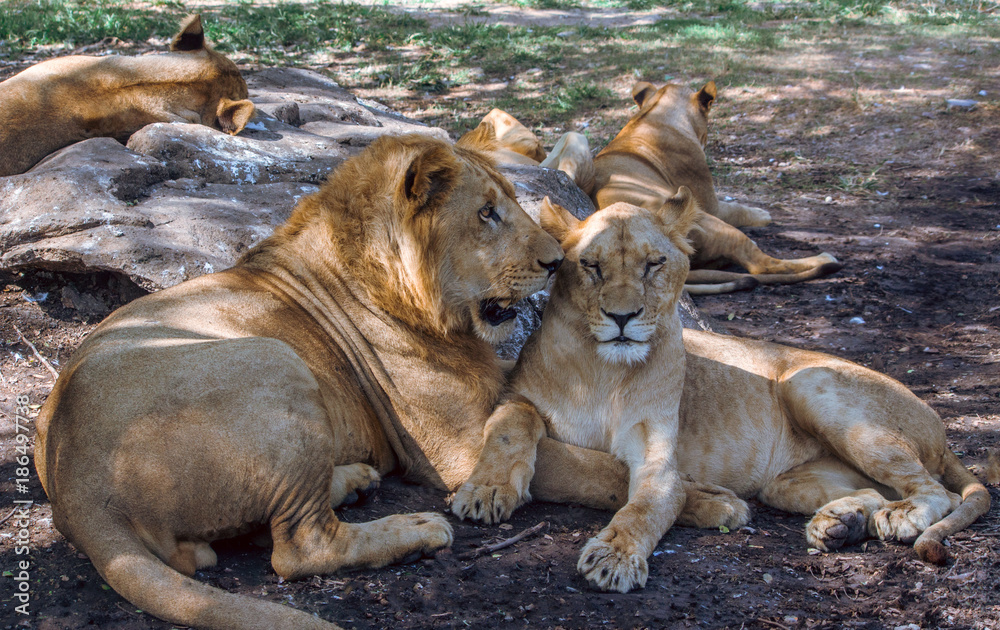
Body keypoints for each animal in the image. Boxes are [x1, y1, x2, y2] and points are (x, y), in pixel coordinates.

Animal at [34, 134, 635, 629]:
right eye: (487, 213)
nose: (556, 263)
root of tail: (77, 484)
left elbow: (533, 414)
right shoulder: (459, 451)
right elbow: (598, 471)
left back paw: (352, 480)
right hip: (276, 359)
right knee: (300, 549)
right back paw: (416, 530)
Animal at [455, 193, 990, 593]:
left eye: (653, 265)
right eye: (591, 266)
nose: (623, 318)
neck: (602, 371)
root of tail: (941, 429)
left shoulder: (659, 458)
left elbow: (643, 507)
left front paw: (614, 557)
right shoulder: (519, 397)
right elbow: (510, 424)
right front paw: (486, 491)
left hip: (810, 383)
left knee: (934, 490)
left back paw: (900, 517)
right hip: (787, 482)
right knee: (875, 490)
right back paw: (841, 523)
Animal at [592, 81, 843, 294]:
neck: (654, 115)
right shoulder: (710, 203)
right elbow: (737, 209)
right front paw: (762, 214)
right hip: (709, 220)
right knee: (762, 264)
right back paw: (825, 258)